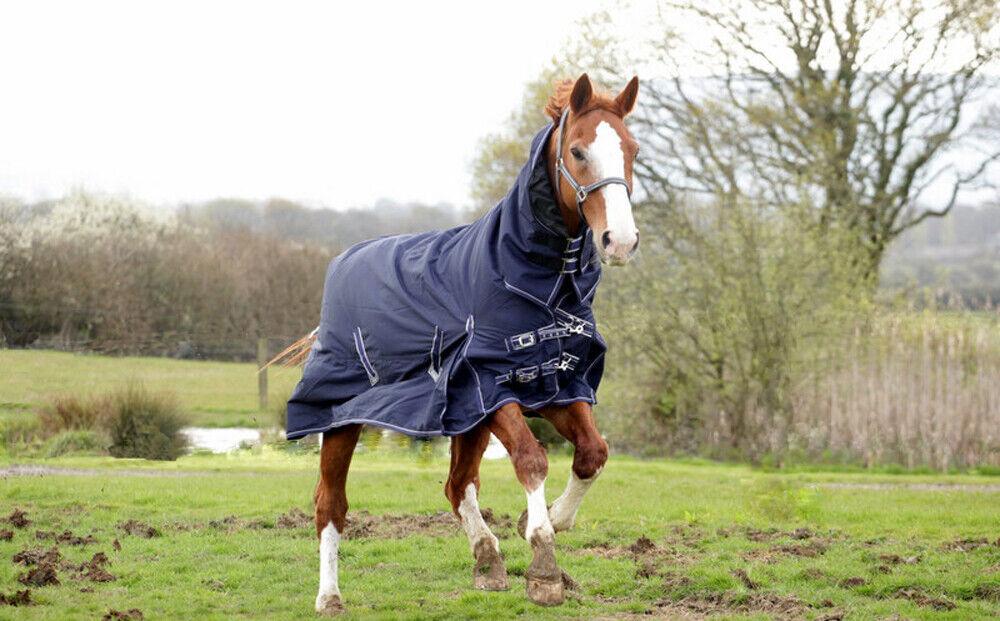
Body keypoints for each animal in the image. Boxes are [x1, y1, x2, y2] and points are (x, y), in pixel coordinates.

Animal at [275, 73, 640, 615]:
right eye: (577, 151)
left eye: (632, 150)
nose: (621, 241)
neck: (535, 284)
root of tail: (341, 264)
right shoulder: (491, 386)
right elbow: (532, 458)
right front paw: (544, 562)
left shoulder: (552, 386)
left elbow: (594, 453)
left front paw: (548, 522)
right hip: (342, 422)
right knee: (330, 504)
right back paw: (330, 597)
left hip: (464, 419)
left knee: (457, 484)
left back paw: (488, 559)